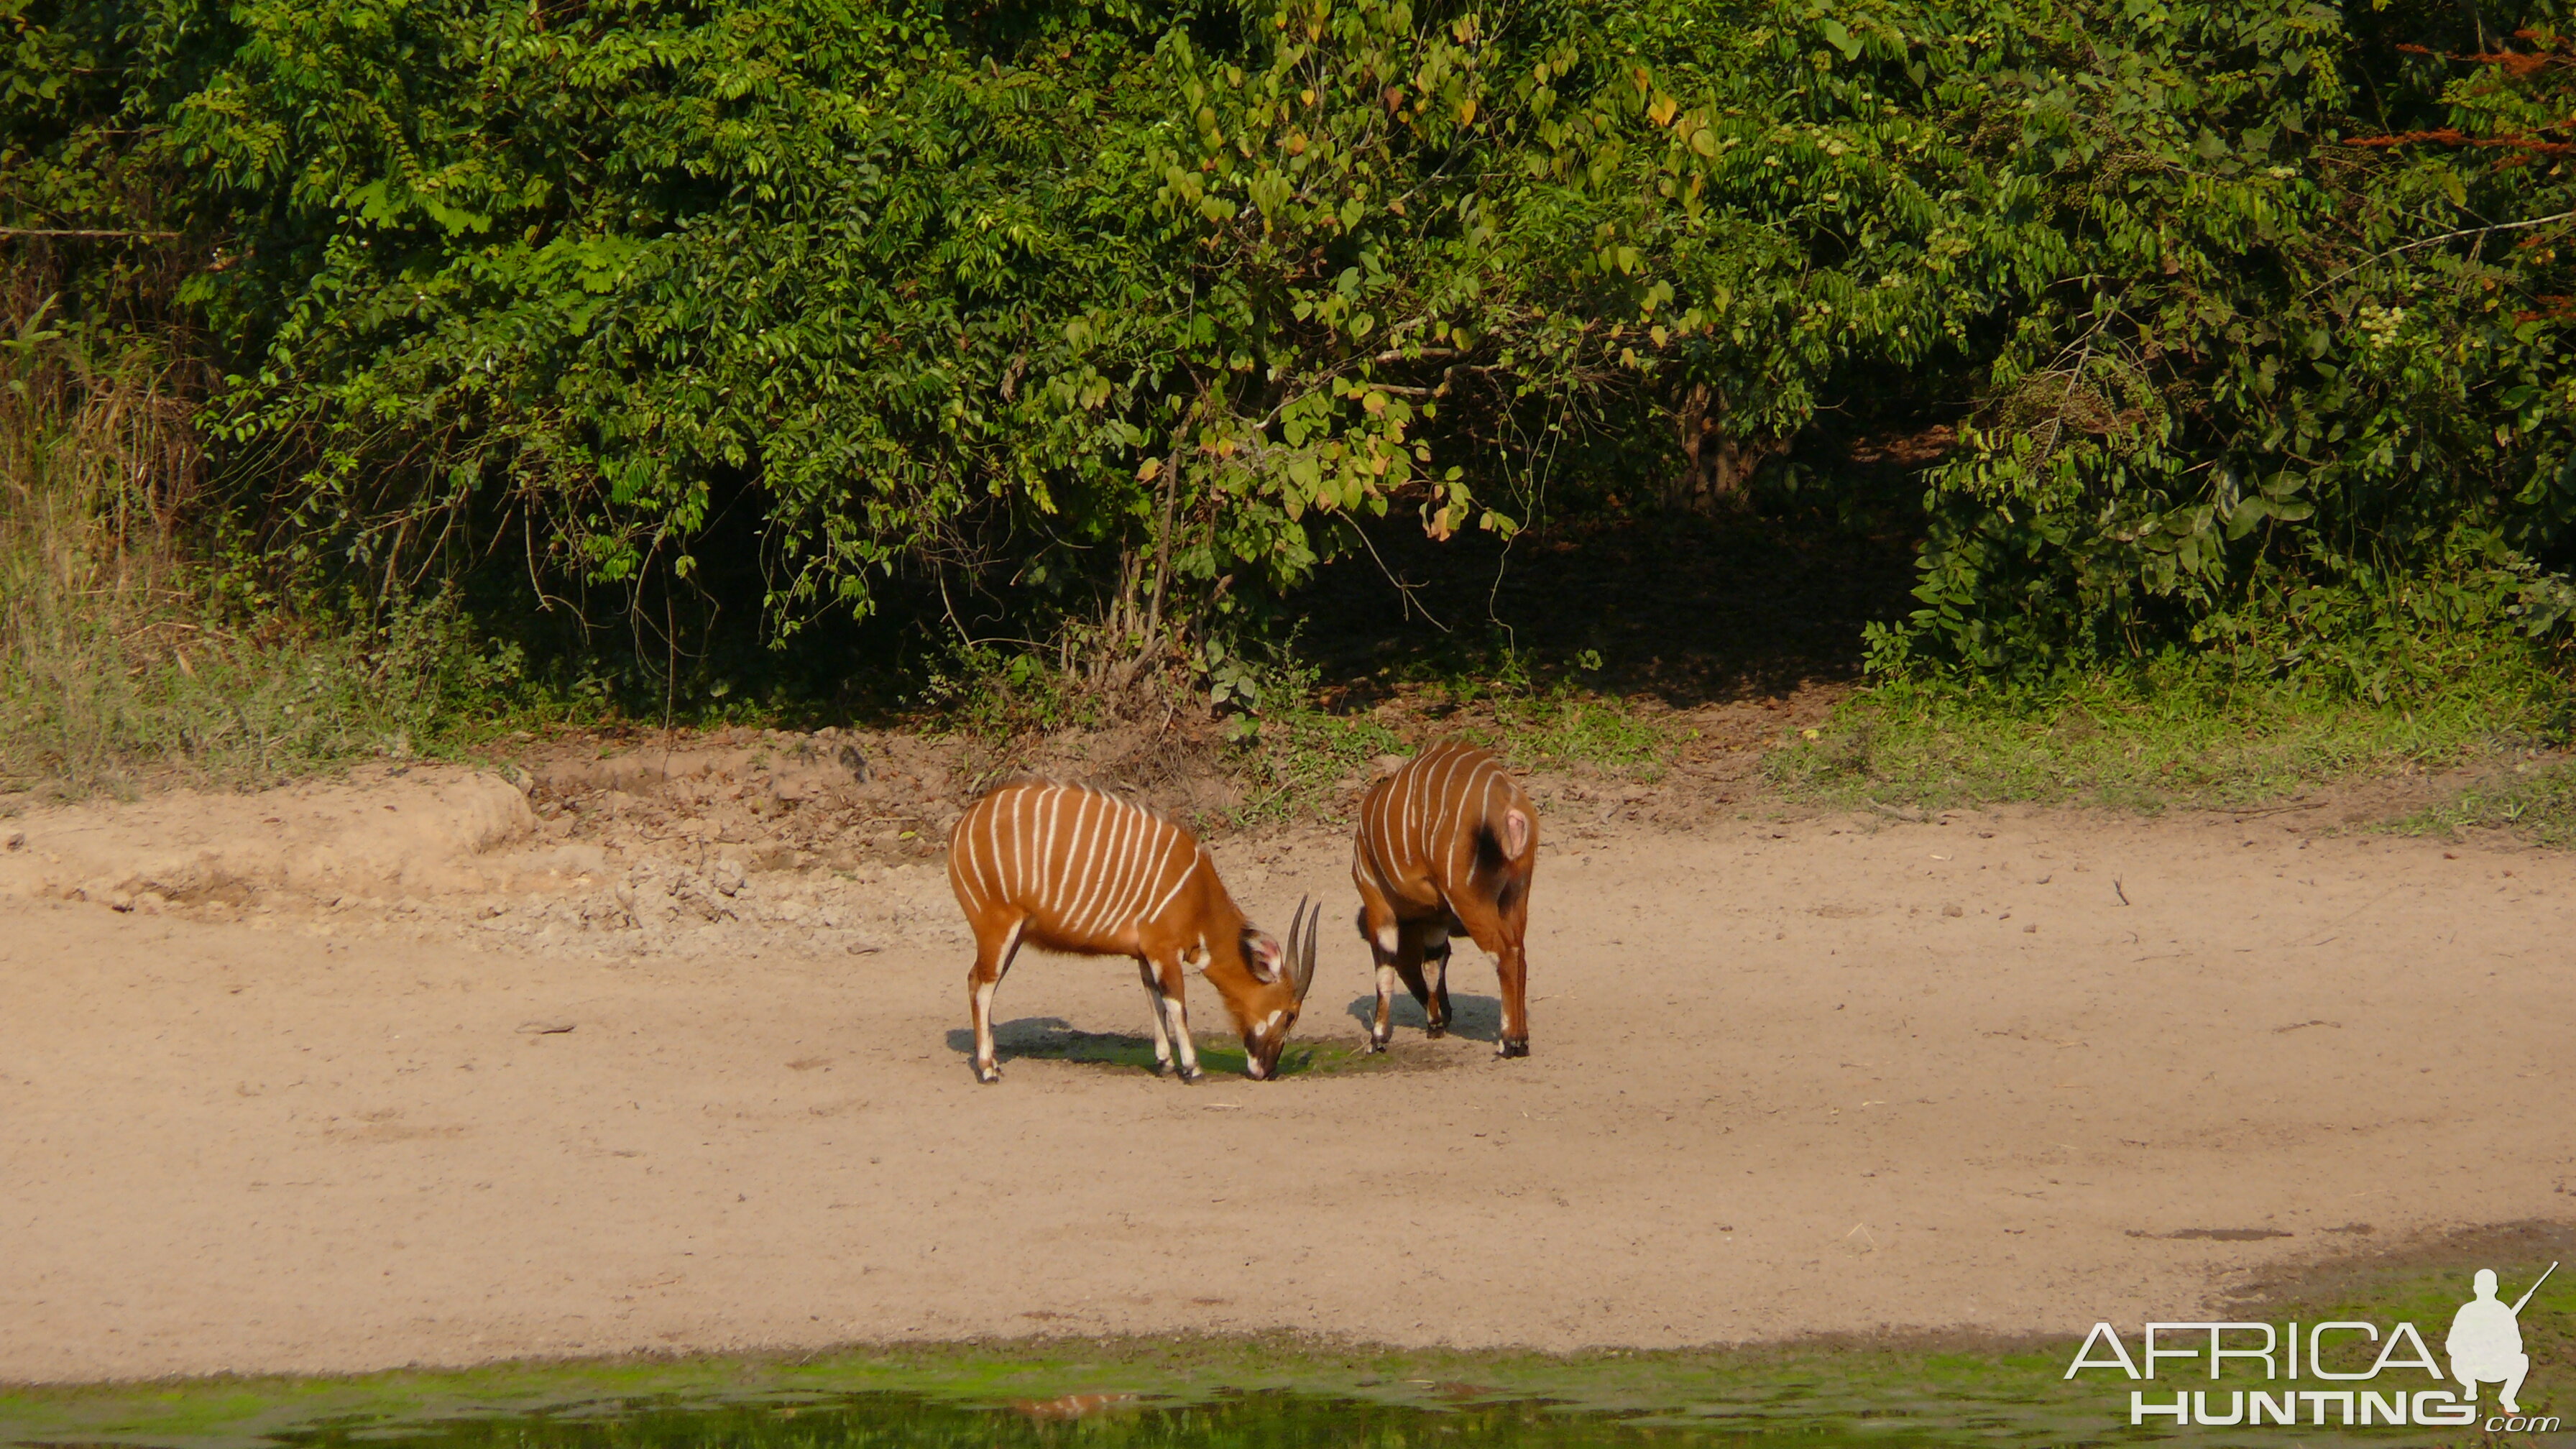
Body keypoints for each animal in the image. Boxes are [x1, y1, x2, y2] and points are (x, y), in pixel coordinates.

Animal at [947, 778, 1319, 1072]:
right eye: (1291, 1014)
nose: (1266, 1070)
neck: (1197, 893)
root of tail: (963, 826)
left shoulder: (1145, 954)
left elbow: (1154, 998)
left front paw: (1165, 1062)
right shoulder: (1164, 950)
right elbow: (1176, 1003)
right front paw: (1192, 1067)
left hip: (1012, 936)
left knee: (977, 981)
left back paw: (993, 1062)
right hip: (998, 927)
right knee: (982, 984)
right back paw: (987, 1069)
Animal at [1360, 737, 1535, 1057]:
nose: (1448, 1013)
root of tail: (1508, 803)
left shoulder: (1377, 902)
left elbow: (1385, 970)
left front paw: (1377, 1039)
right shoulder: (1437, 917)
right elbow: (1433, 964)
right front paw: (1435, 1025)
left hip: (1470, 900)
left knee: (1504, 955)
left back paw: (1509, 1042)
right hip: (1515, 897)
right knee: (1519, 954)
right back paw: (1521, 1039)